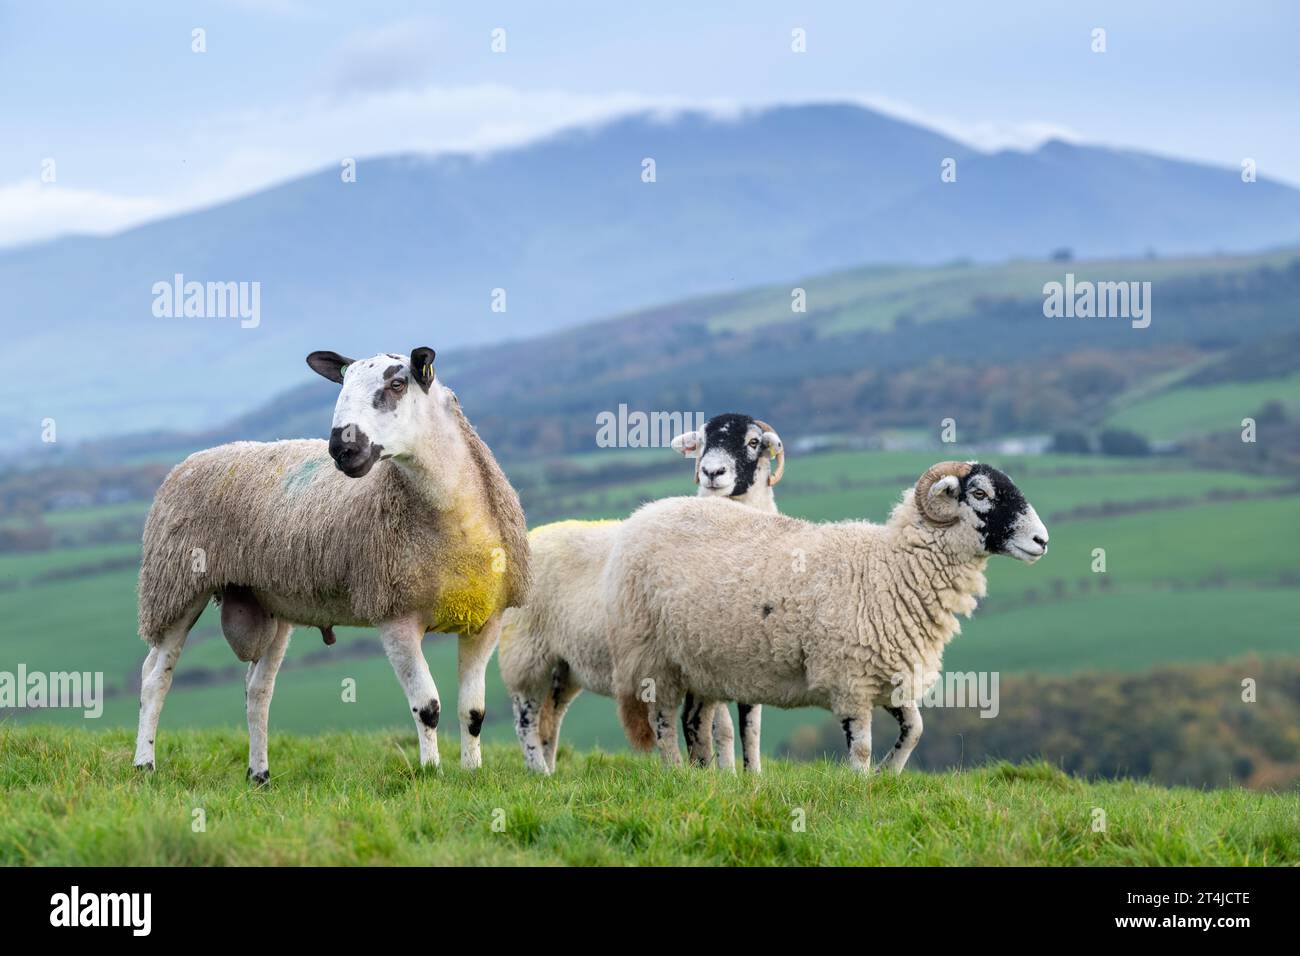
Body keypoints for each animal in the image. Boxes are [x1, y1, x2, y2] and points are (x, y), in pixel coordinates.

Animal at [134, 348, 530, 780]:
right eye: (342, 385)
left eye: (397, 383)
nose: (341, 447)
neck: (452, 519)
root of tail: (190, 460)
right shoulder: (395, 616)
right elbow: (427, 707)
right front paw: (431, 773)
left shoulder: (487, 619)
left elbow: (472, 712)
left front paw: (472, 773)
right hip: (175, 584)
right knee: (155, 678)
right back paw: (144, 764)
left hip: (271, 604)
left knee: (257, 689)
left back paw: (259, 775)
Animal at [493, 416, 780, 775]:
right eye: (701, 441)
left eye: (753, 442)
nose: (712, 473)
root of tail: (532, 538)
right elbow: (722, 727)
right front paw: (724, 774)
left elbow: (750, 725)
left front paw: (751, 776)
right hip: (526, 650)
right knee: (525, 717)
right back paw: (539, 772)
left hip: (565, 665)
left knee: (551, 718)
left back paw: (551, 769)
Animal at [605, 460, 1045, 775]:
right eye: (980, 493)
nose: (1042, 540)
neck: (889, 570)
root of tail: (642, 515)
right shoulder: (850, 678)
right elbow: (862, 747)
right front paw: (861, 789)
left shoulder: (887, 673)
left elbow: (915, 730)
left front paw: (887, 775)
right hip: (654, 655)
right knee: (663, 721)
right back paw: (677, 775)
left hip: (701, 662)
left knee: (695, 721)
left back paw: (707, 781)